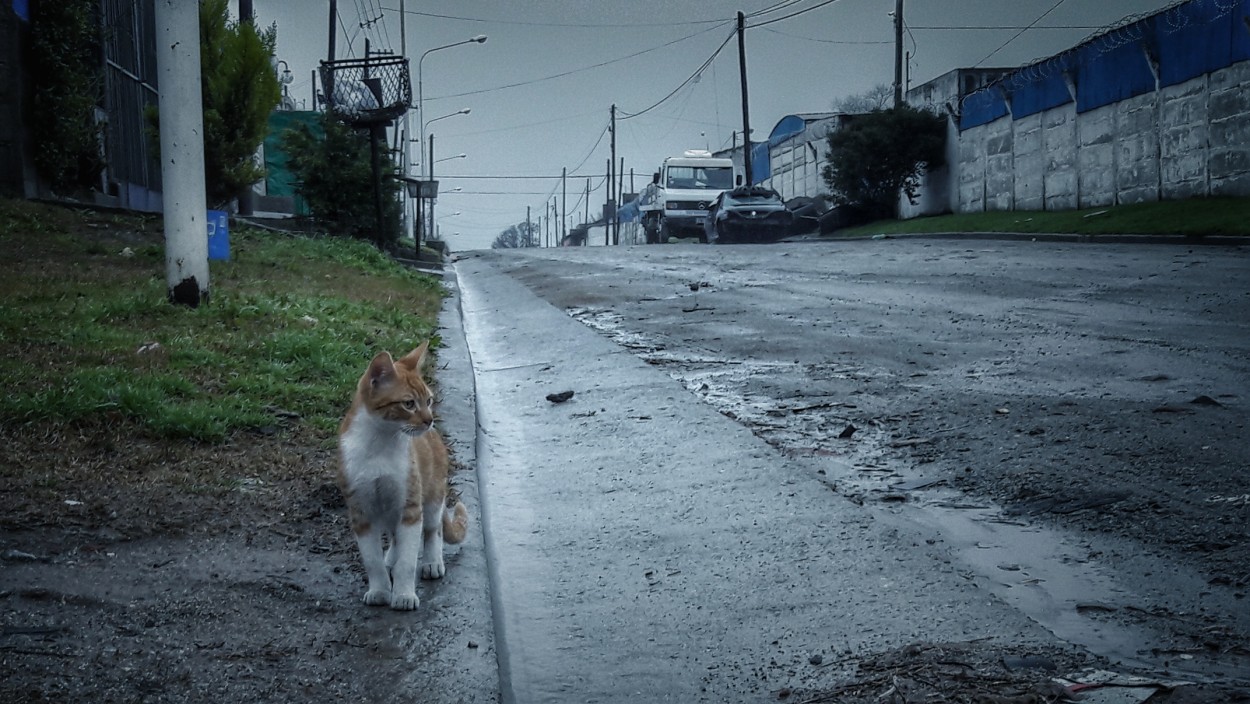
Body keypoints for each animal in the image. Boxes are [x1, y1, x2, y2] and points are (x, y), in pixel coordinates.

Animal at [335, 342, 467, 612]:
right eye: (408, 404)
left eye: (428, 400)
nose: (429, 420)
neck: (380, 444)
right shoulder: (361, 511)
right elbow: (372, 560)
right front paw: (380, 589)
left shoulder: (410, 508)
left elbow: (408, 560)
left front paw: (404, 594)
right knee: (395, 537)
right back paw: (390, 558)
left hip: (432, 497)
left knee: (433, 530)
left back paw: (432, 561)